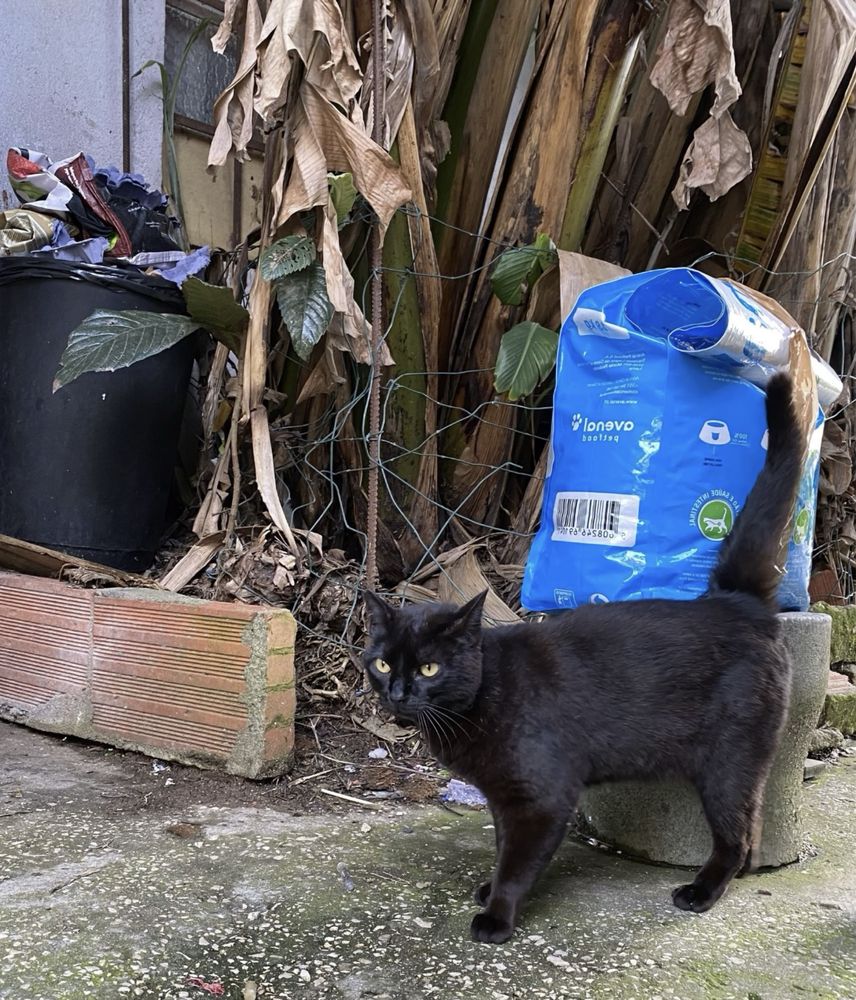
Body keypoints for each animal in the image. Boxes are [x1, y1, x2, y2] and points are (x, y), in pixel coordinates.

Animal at [364, 376, 804, 944]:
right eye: (382, 665)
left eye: (428, 669)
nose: (398, 694)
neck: (487, 696)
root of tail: (736, 601)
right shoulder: (504, 797)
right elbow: (502, 844)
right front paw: (488, 889)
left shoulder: (543, 797)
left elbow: (518, 861)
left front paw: (497, 916)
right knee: (749, 827)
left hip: (730, 759)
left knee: (737, 831)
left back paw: (703, 892)